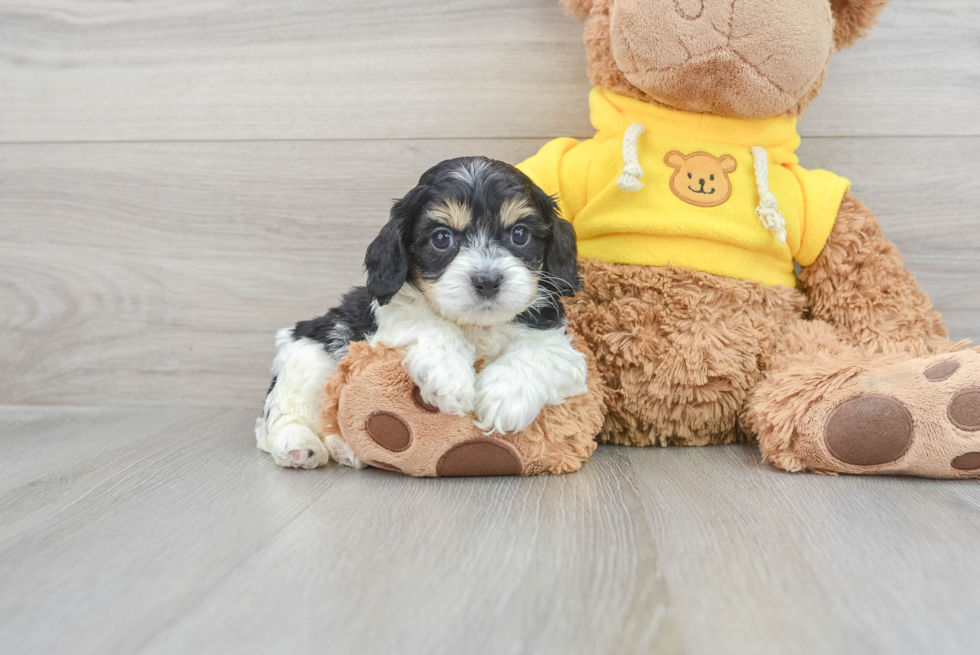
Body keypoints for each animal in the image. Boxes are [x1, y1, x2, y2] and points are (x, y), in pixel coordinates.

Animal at [255, 156, 588, 468]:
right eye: (441, 238)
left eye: (520, 234)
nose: (487, 280)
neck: (476, 325)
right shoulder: (389, 319)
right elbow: (427, 321)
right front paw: (449, 375)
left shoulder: (561, 347)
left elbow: (538, 354)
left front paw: (504, 398)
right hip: (307, 354)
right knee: (280, 417)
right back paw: (299, 445)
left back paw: (345, 449)